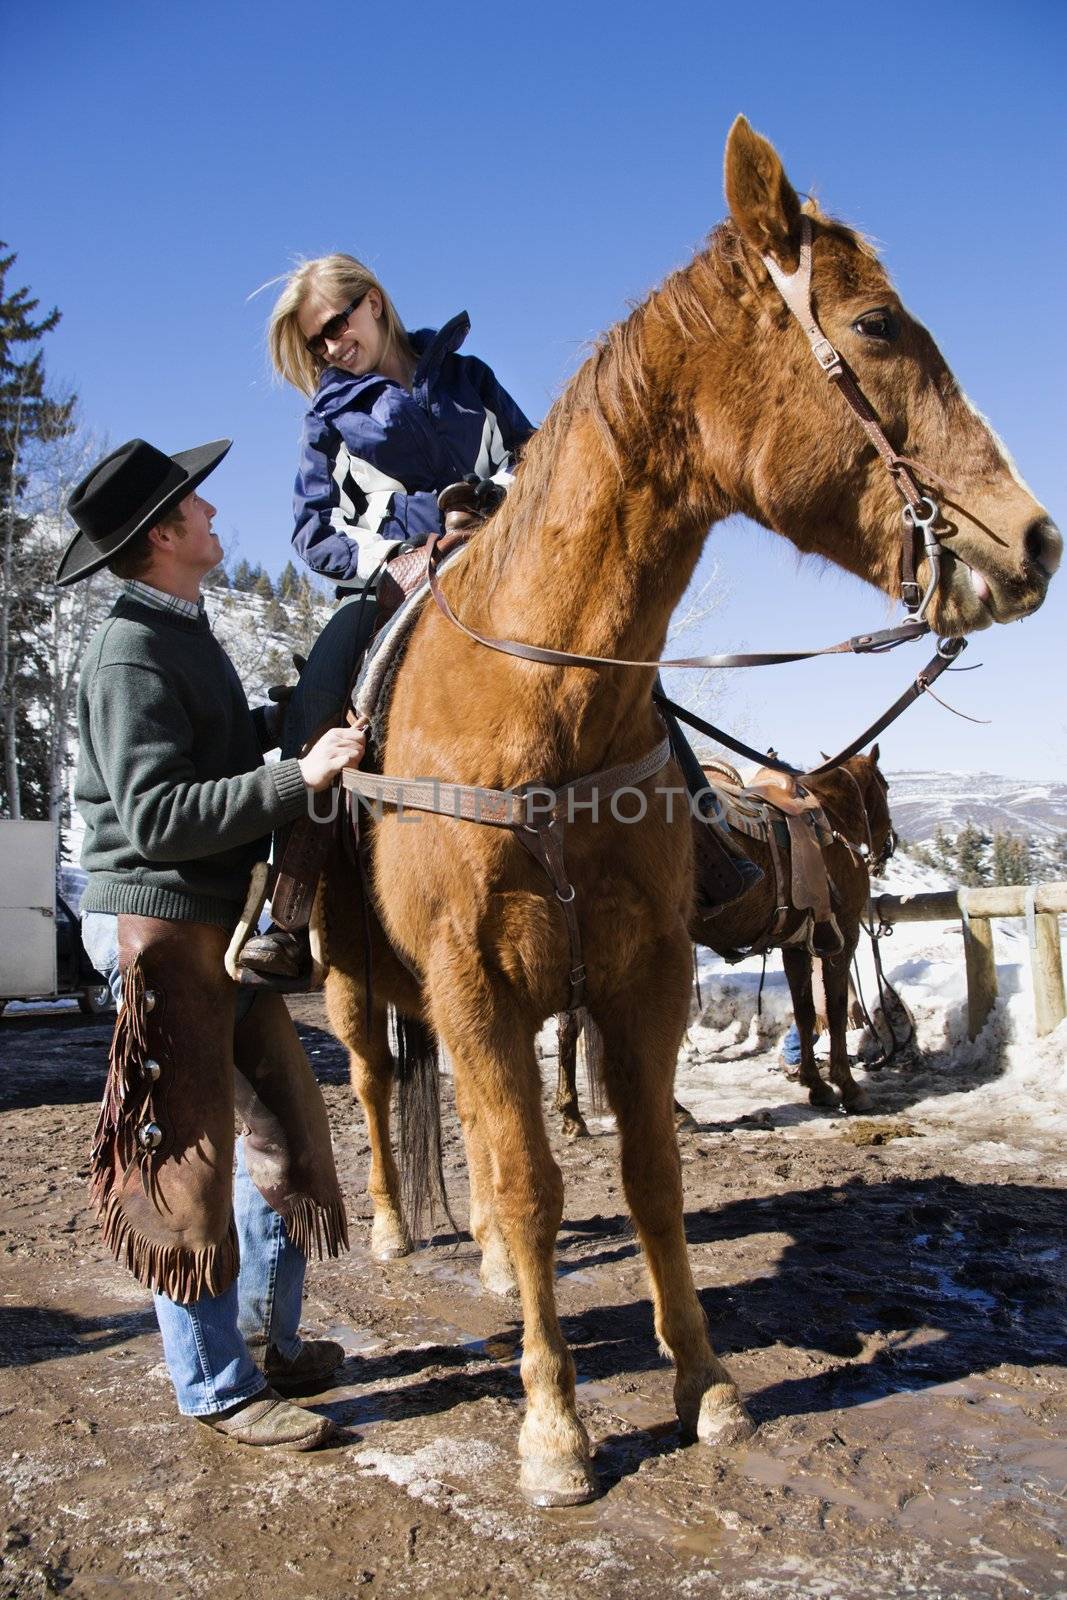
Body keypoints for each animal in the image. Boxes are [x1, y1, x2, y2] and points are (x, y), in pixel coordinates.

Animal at [321, 118, 1055, 1504]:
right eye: (875, 322)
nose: (1035, 541)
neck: (539, 707)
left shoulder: (641, 968)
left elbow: (647, 1170)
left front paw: (704, 1381)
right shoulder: (471, 978)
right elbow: (531, 1180)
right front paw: (553, 1426)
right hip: (350, 978)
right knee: (383, 1091)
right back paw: (394, 1225)